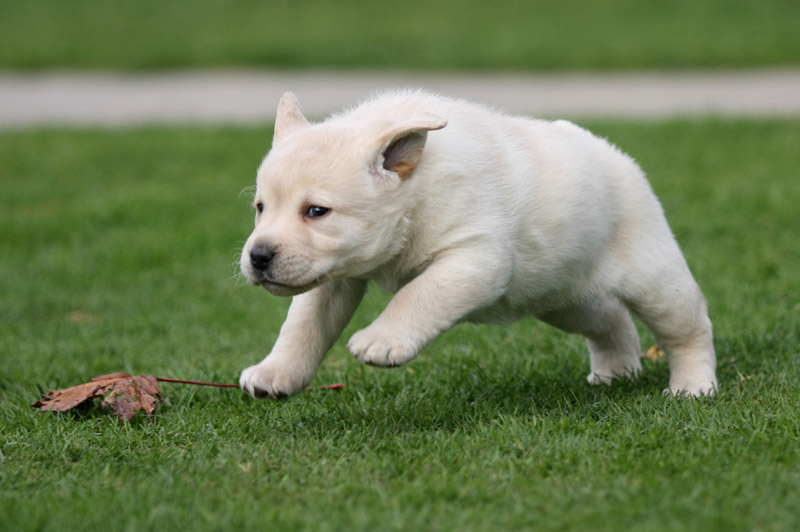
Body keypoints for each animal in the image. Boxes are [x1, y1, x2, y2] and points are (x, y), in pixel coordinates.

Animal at [238, 90, 720, 400]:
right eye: (260, 207)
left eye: (316, 211)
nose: (258, 257)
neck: (416, 195)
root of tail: (619, 157)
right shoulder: (334, 275)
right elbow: (303, 326)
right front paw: (275, 373)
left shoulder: (474, 257)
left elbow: (418, 295)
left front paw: (382, 341)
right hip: (562, 296)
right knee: (611, 321)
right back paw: (615, 373)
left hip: (651, 275)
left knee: (689, 325)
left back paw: (693, 387)